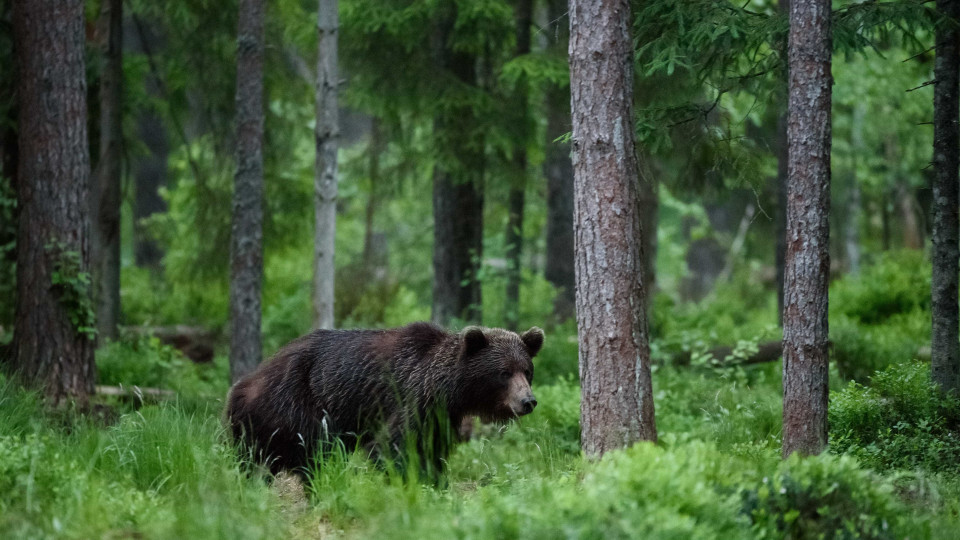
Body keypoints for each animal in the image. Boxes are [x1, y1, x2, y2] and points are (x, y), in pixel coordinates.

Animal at [221, 320, 544, 476]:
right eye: (504, 372)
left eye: (527, 371)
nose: (528, 401)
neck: (449, 390)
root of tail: (239, 387)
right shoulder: (410, 399)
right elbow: (394, 447)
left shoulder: (439, 418)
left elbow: (433, 450)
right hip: (297, 404)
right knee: (315, 456)